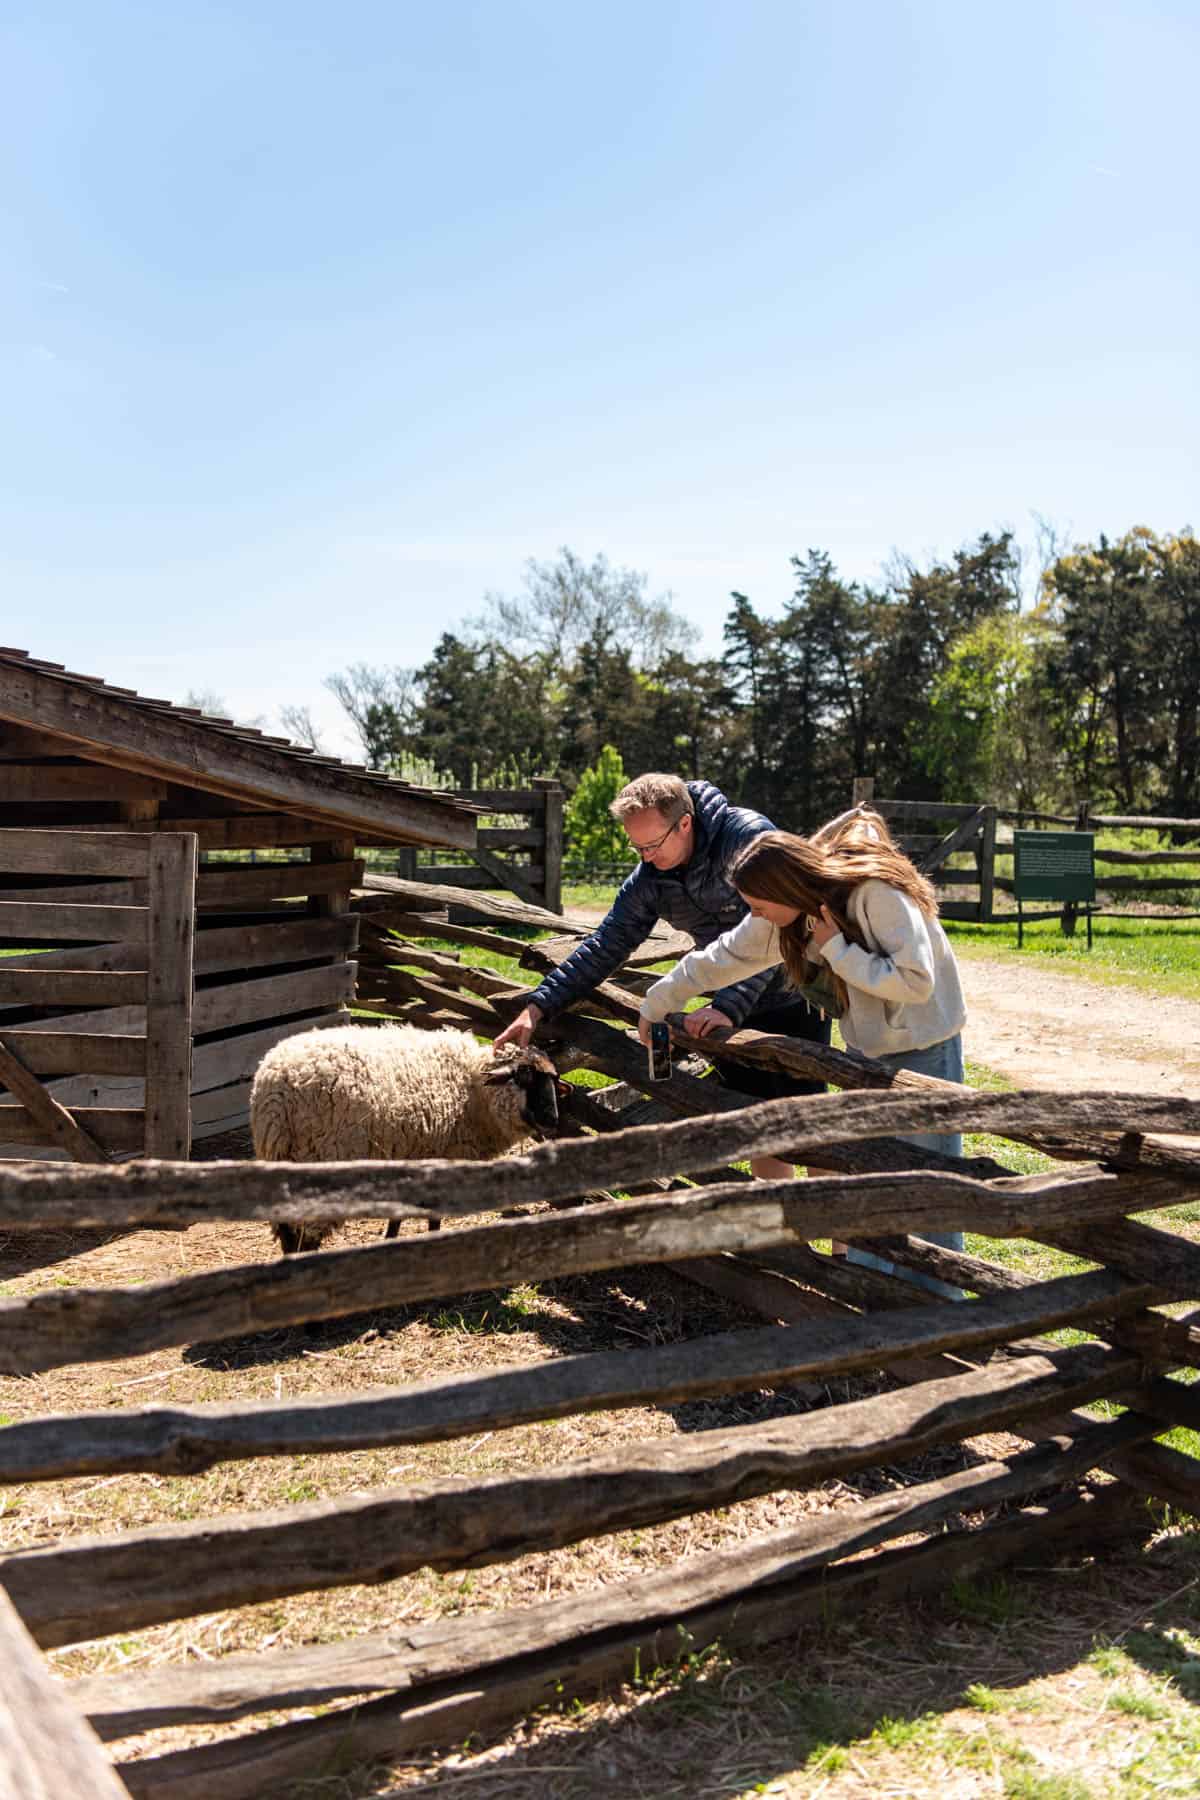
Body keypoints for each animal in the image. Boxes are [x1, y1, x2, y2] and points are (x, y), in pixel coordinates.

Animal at [250, 1023, 560, 1254]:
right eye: (524, 1076)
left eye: (553, 1081)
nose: (553, 1119)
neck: (474, 1090)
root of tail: (275, 1089)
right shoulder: (443, 1158)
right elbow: (434, 1215)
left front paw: (392, 1240)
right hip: (320, 1158)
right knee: (305, 1237)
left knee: (288, 1235)